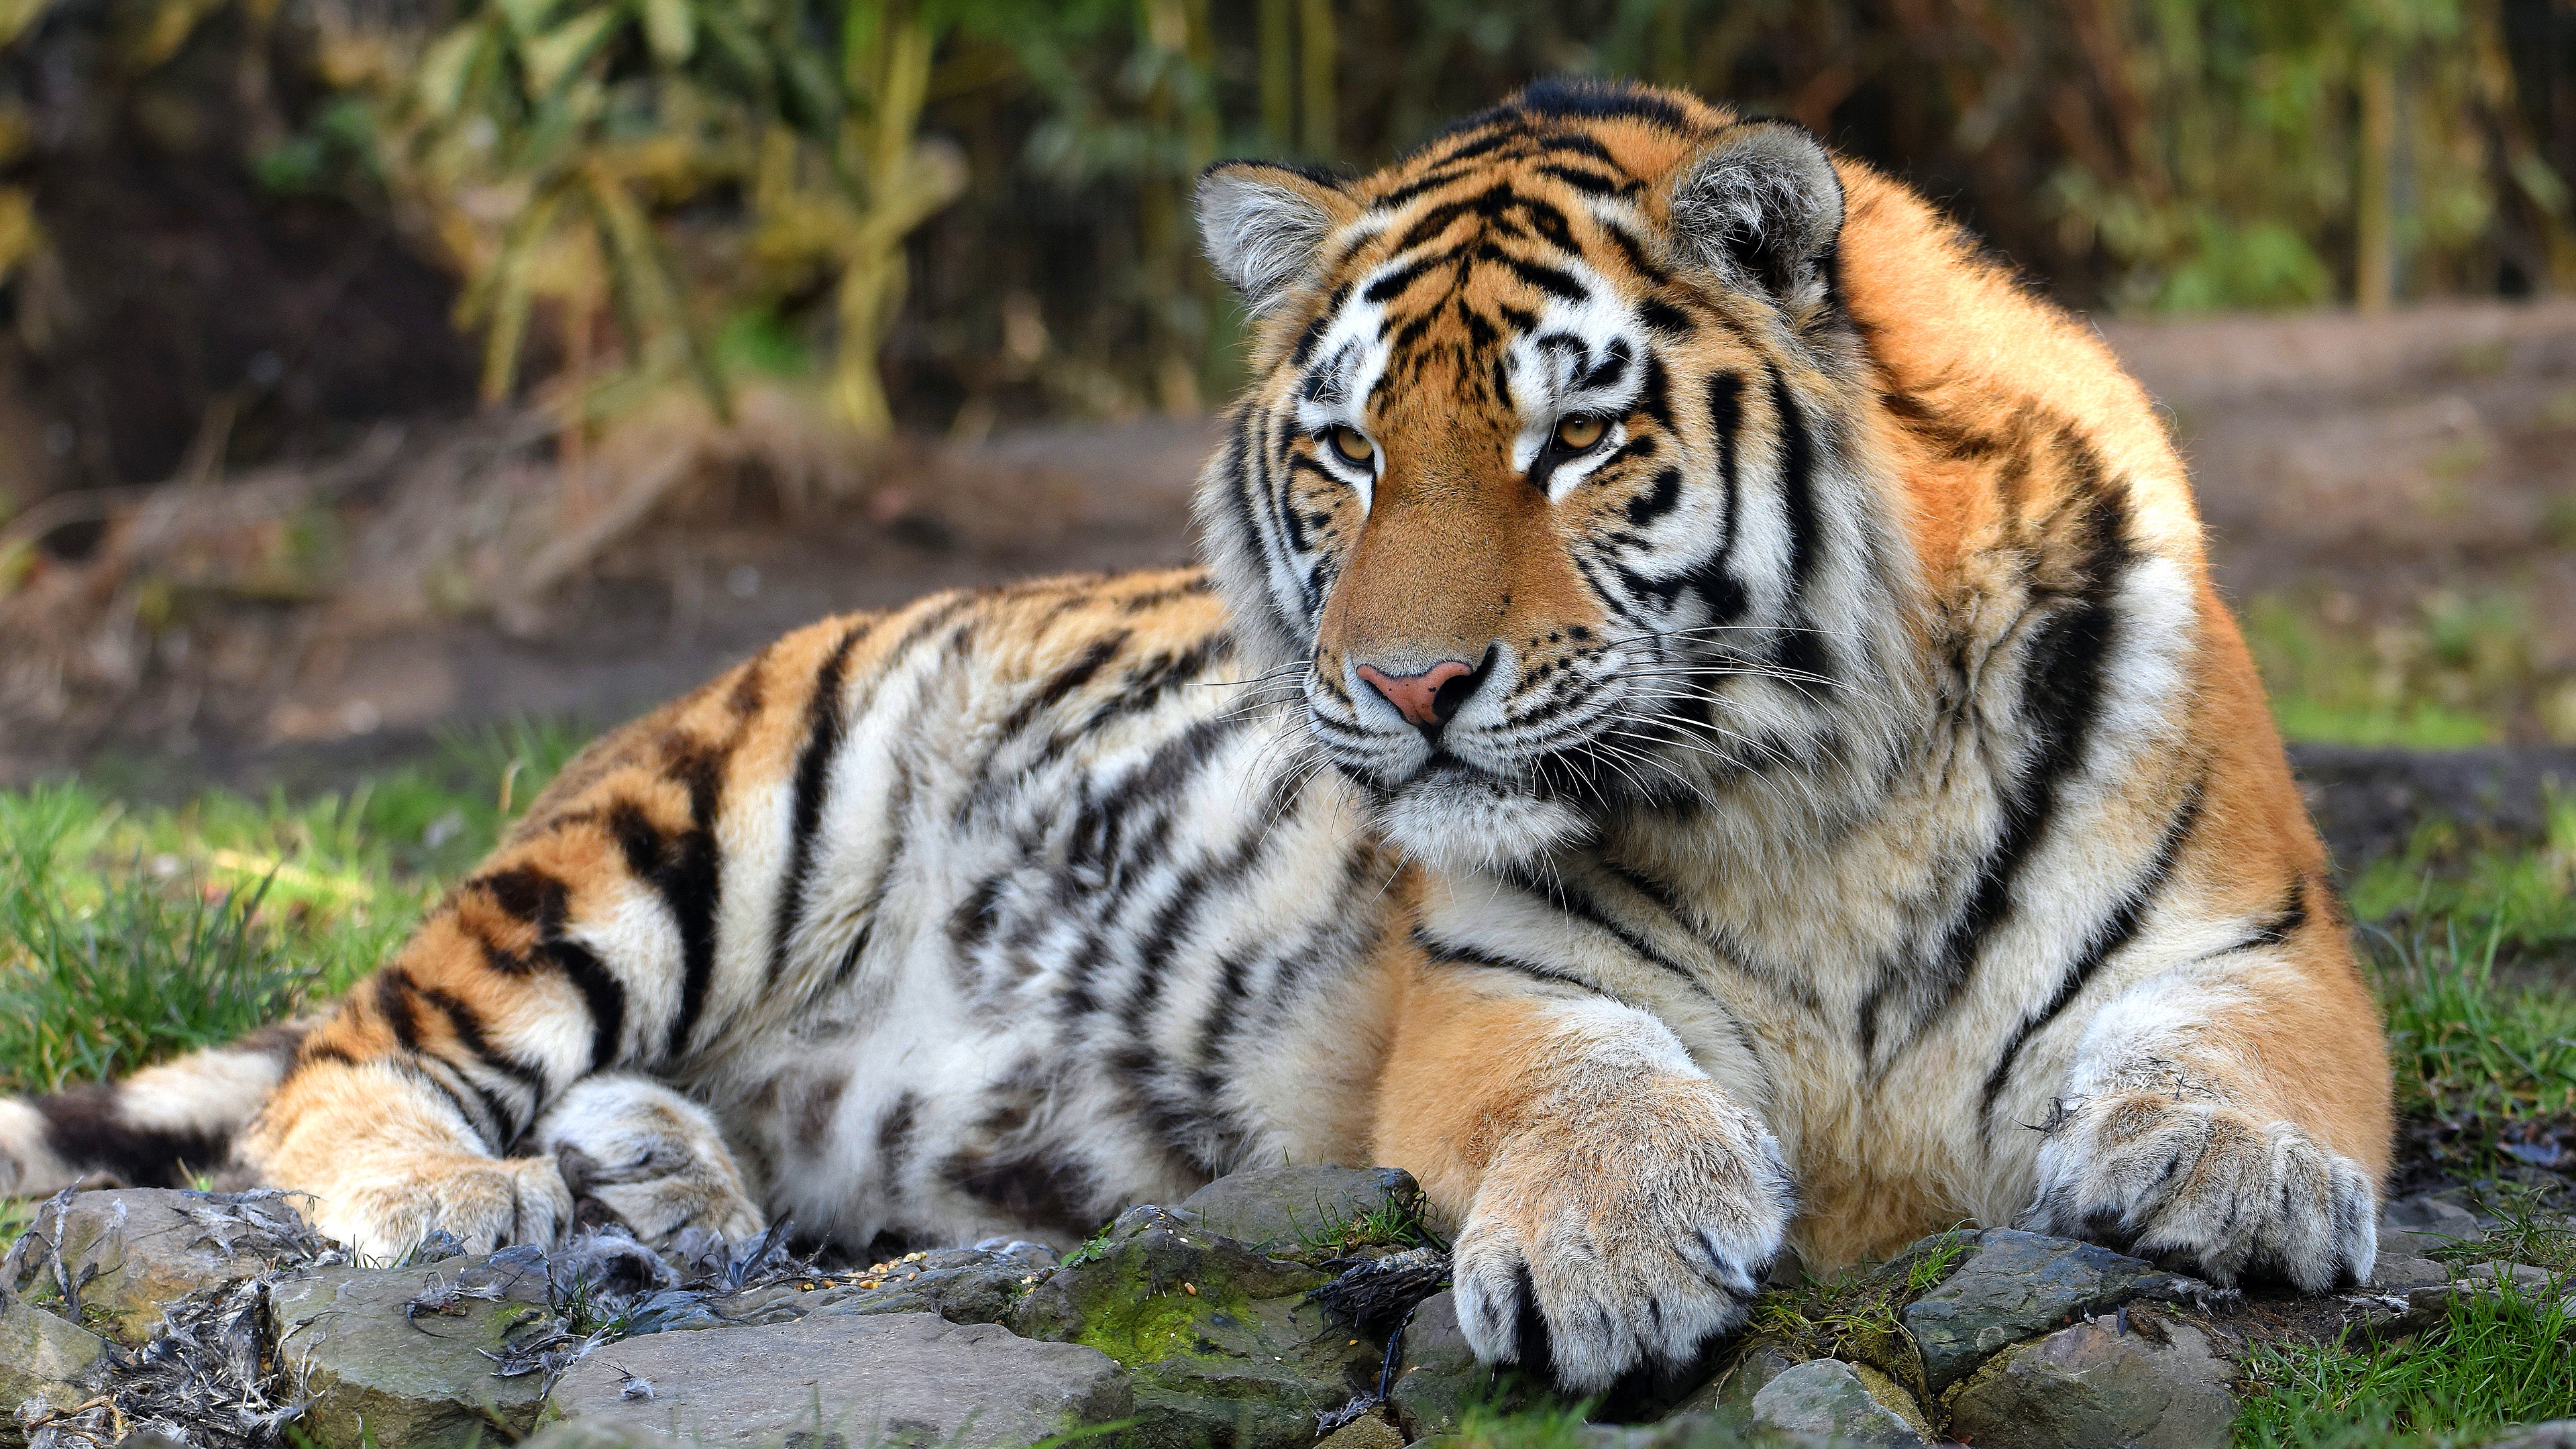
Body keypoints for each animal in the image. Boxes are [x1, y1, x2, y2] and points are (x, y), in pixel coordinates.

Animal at [0, 78, 2390, 1392]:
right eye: (1344, 452)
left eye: (1573, 440)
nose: (1408, 689)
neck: (1809, 786)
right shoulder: (1503, 987)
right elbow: (1593, 1101)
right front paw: (1609, 1262)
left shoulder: (2261, 940)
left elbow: (2242, 1061)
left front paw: (2230, 1182)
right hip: (707, 808)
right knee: (340, 1062)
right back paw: (469, 1203)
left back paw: (667, 1178)